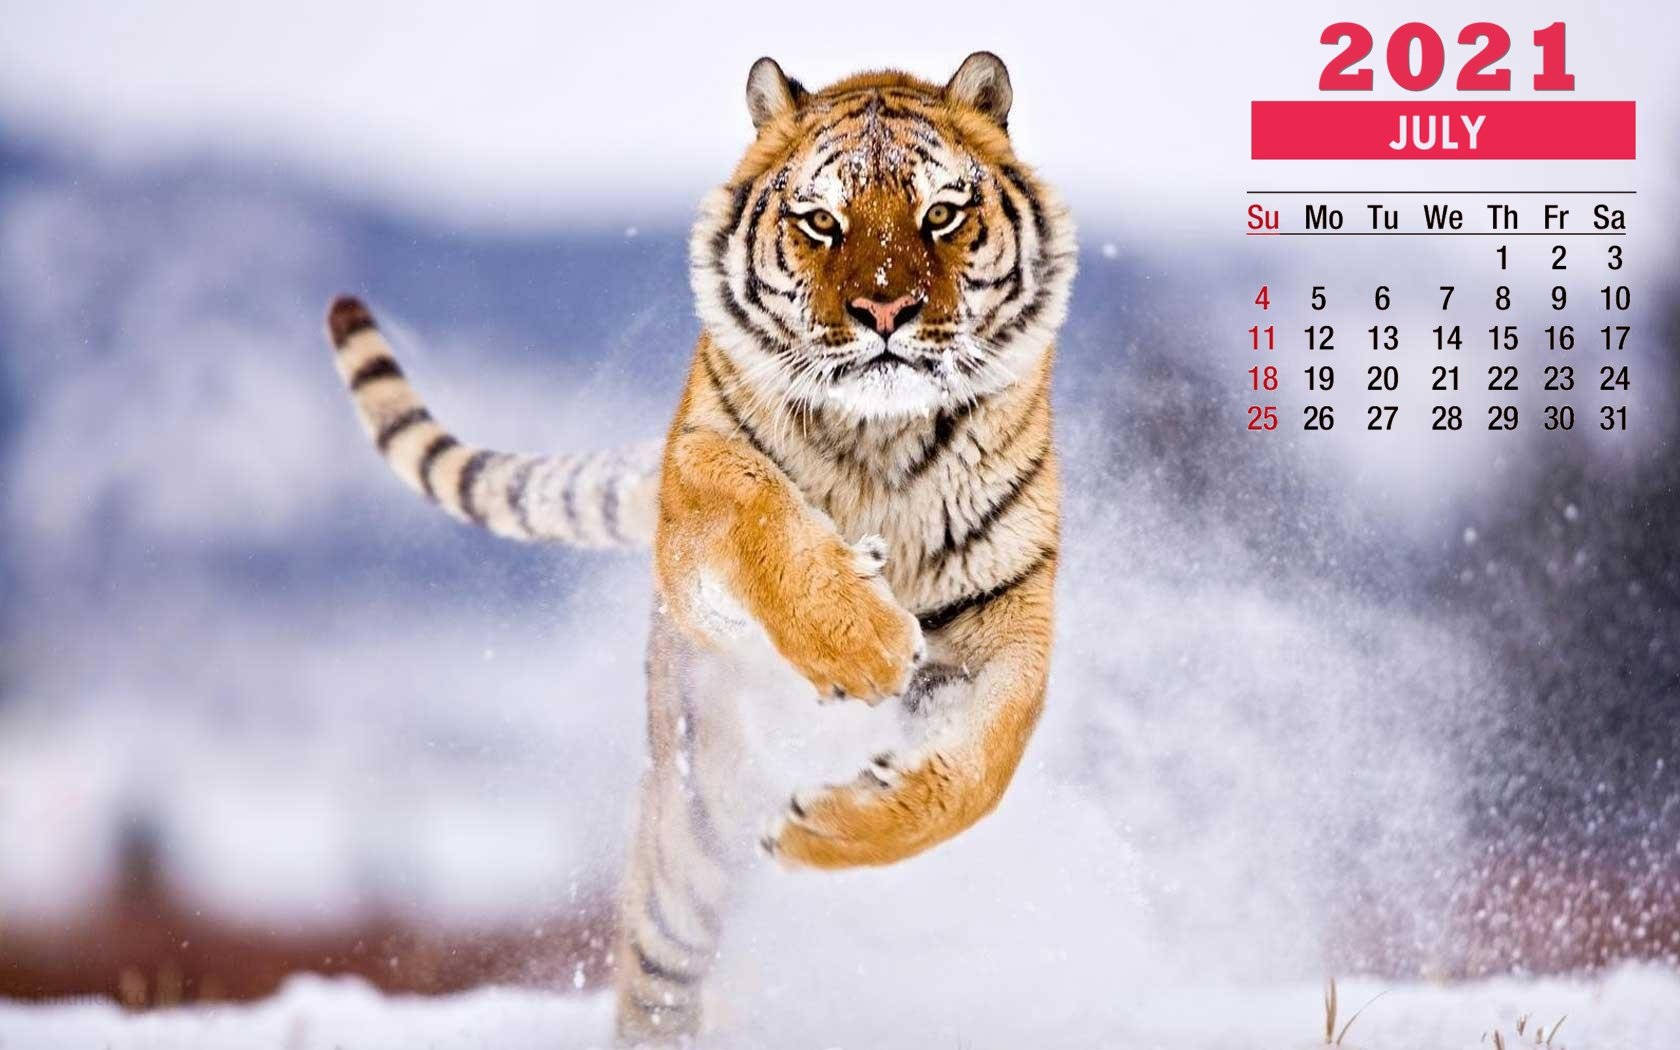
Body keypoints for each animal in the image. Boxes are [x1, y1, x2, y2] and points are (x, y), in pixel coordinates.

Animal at [324, 50, 1075, 1044]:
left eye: (942, 214)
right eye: (821, 220)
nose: (884, 309)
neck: (880, 443)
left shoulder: (1007, 614)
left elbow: (979, 771)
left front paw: (824, 828)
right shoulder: (696, 499)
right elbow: (758, 507)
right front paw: (864, 641)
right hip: (691, 835)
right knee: (657, 970)